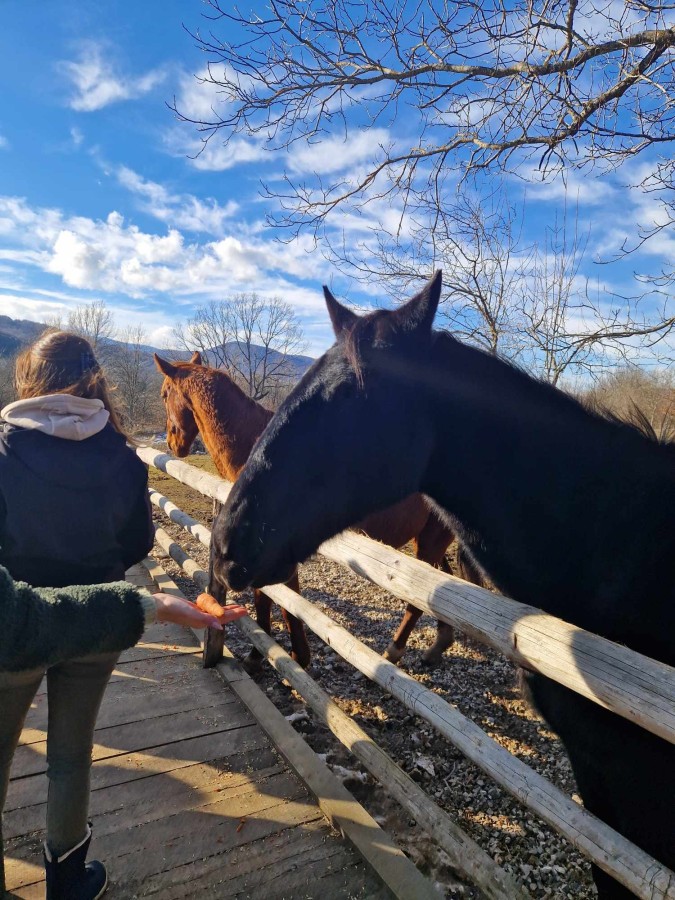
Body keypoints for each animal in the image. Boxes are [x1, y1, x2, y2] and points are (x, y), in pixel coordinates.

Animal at [155, 352, 478, 668]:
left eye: (163, 394)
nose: (173, 442)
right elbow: (268, 598)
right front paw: (262, 653)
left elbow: (280, 601)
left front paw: (291, 657)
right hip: (429, 541)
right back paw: (437, 647)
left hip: (430, 543)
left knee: (417, 603)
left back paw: (393, 652)